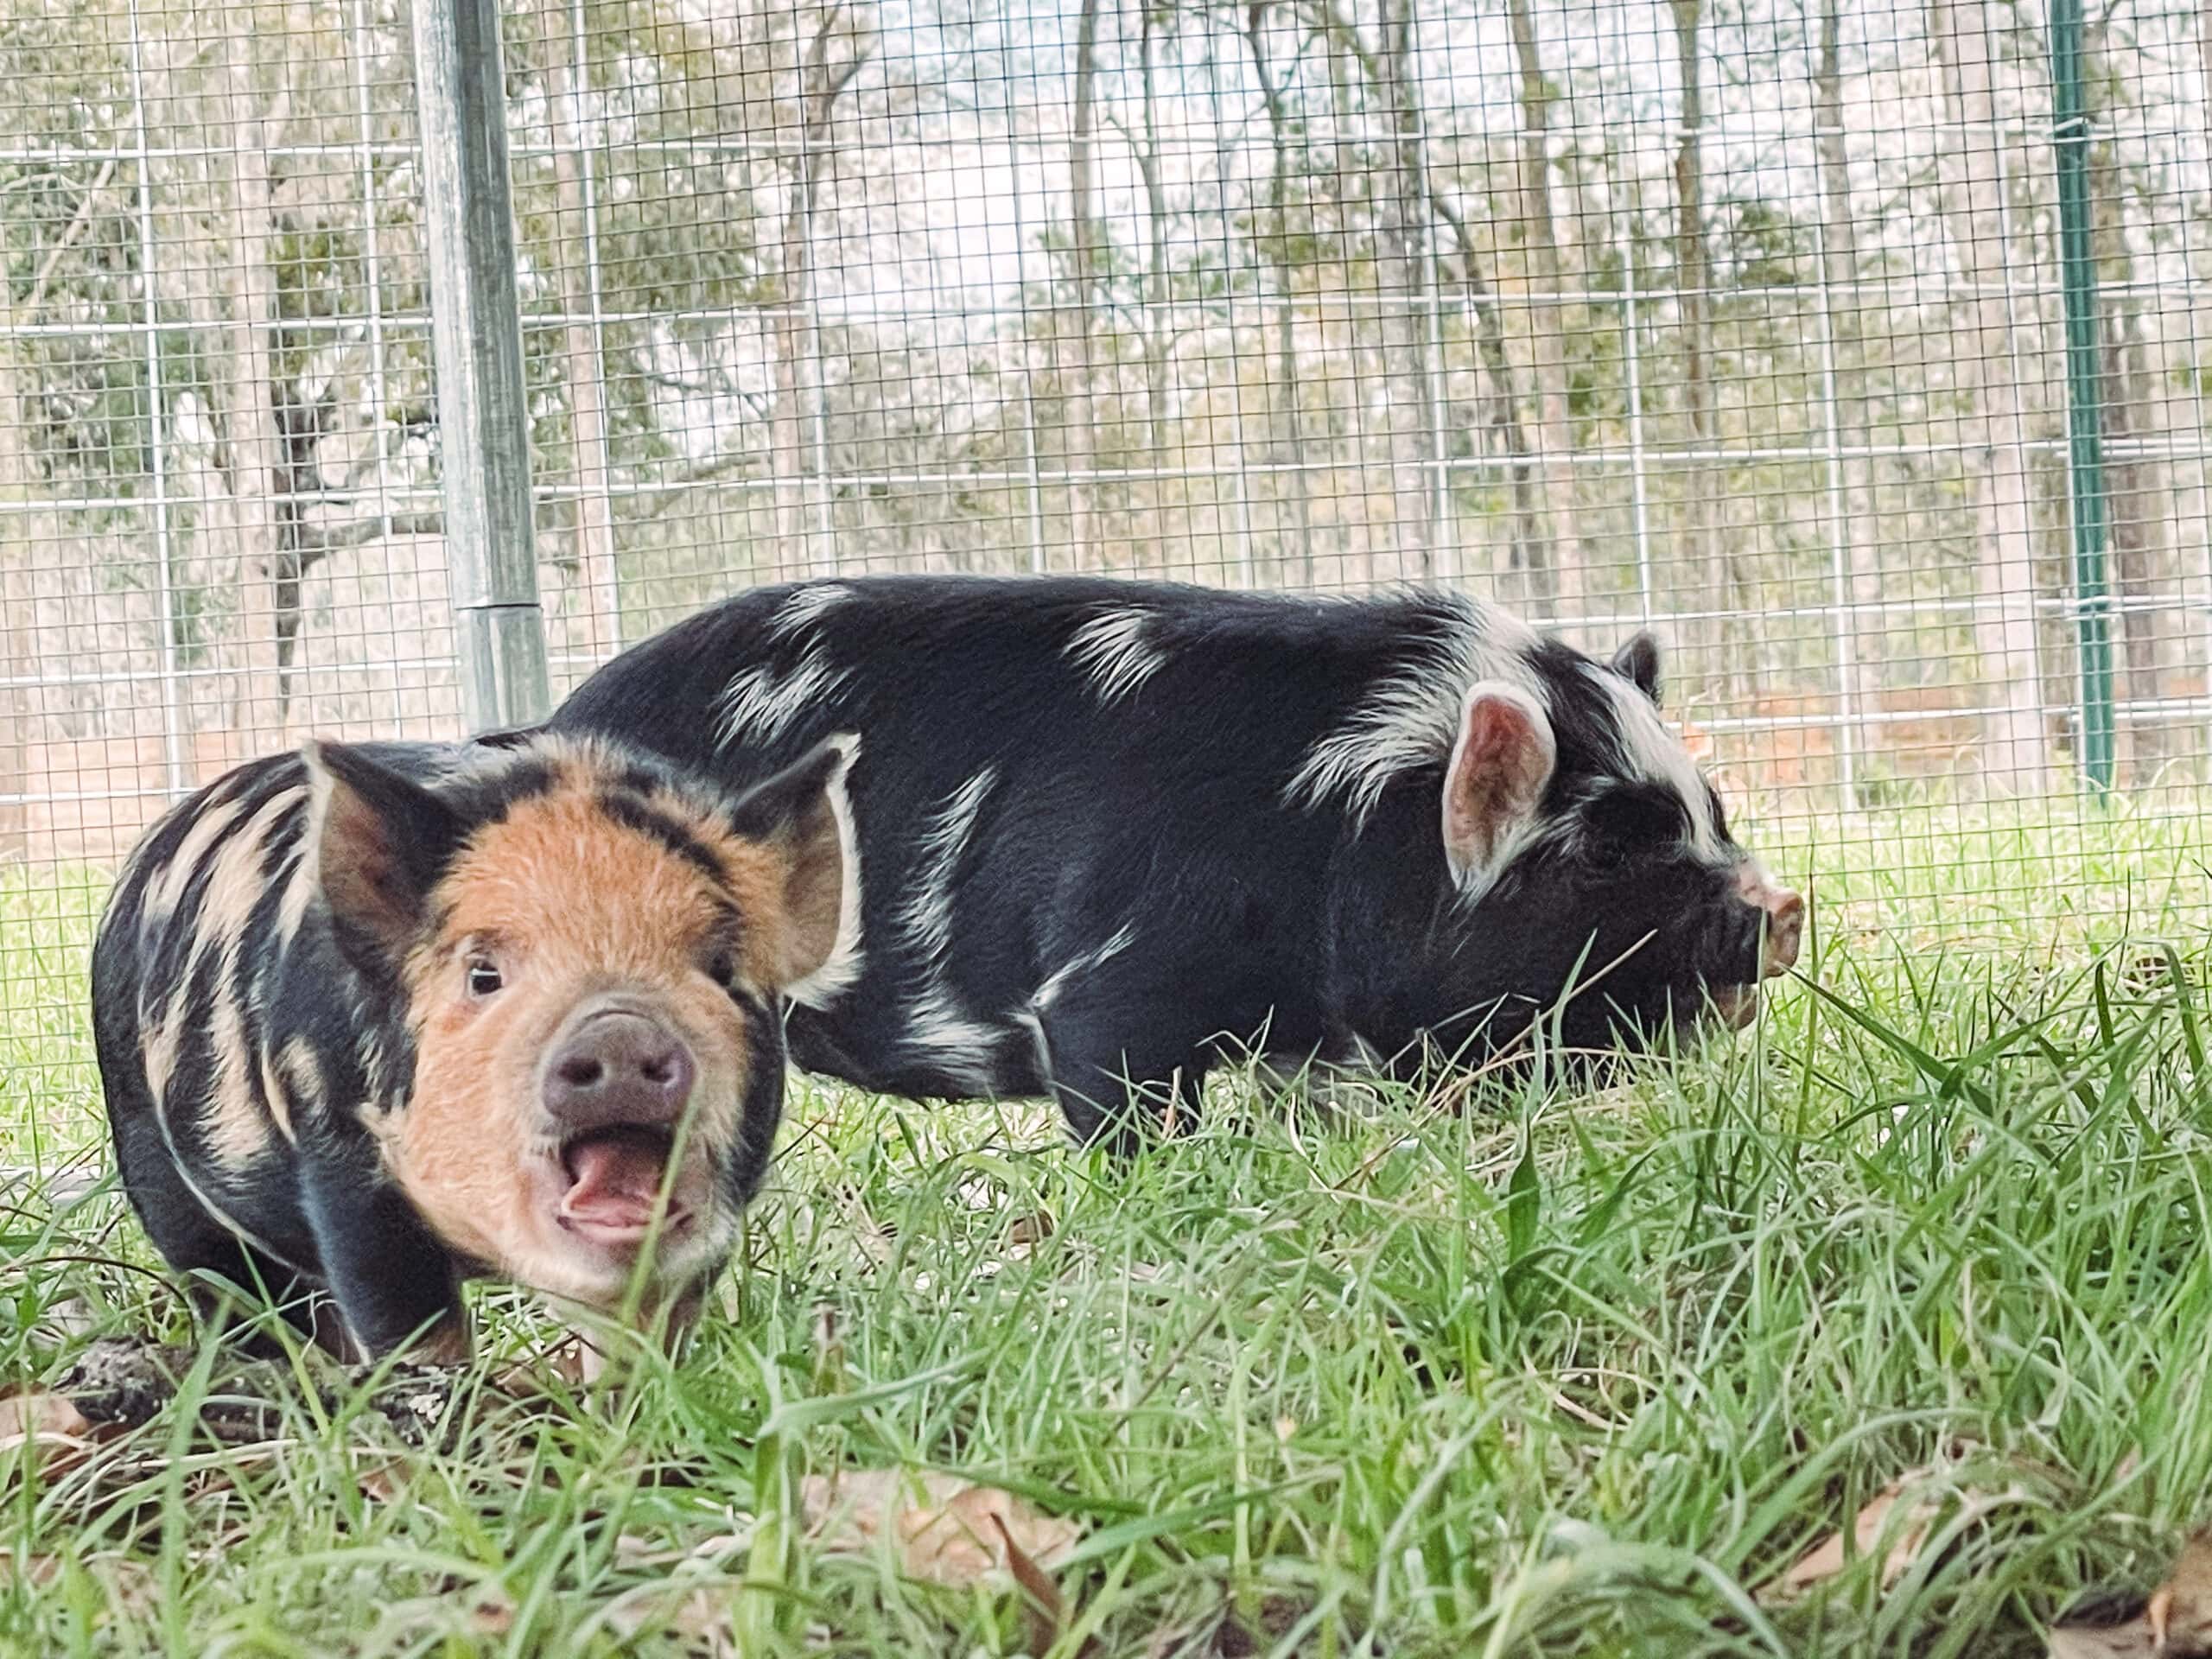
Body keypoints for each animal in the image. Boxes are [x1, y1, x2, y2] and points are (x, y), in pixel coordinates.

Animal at [92, 725, 854, 1362]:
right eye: (484, 974)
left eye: (721, 969)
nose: (618, 1026)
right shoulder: (341, 1153)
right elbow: (408, 1321)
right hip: (152, 1162)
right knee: (235, 1293)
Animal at [548, 579, 1796, 1150]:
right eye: (1607, 847)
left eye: (1713, 809)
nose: (1780, 907)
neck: (1328, 823)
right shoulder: (1105, 988)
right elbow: (1128, 1106)